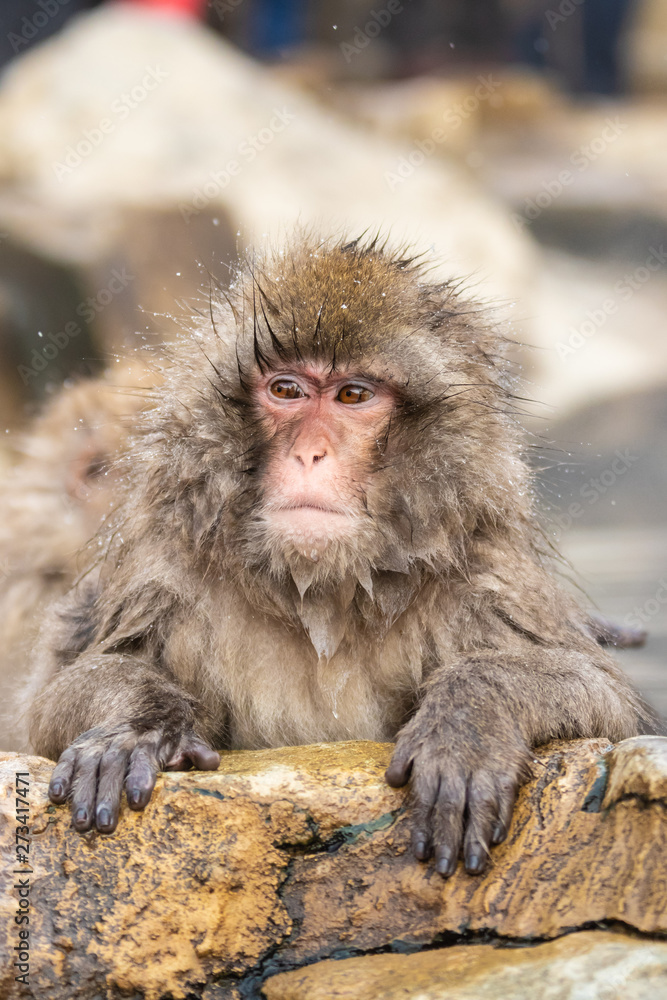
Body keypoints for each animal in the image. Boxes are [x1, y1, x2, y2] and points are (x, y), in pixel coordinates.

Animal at [26, 233, 654, 877]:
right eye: (286, 390)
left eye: (354, 395)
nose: (310, 454)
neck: (323, 592)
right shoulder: (164, 569)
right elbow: (52, 702)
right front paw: (134, 724)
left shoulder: (487, 578)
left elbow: (603, 697)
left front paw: (468, 721)